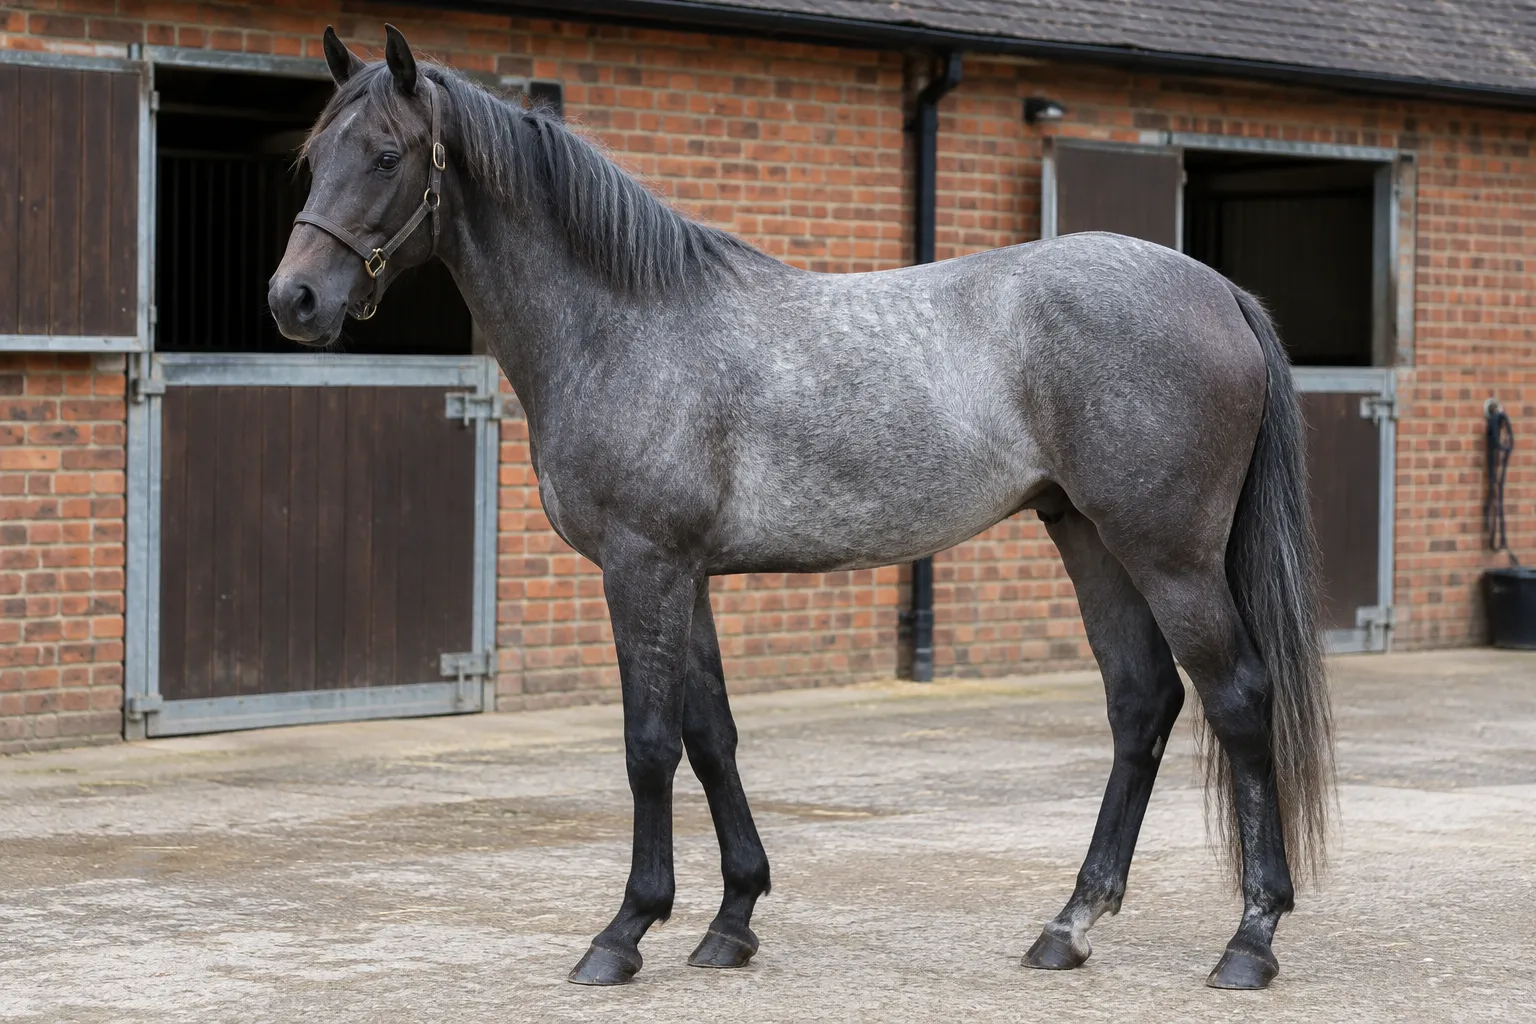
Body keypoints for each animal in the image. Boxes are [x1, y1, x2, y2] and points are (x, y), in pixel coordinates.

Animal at [269, 25, 1334, 992]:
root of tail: (1218, 290)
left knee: (1237, 700)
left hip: (1169, 553)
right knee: (1140, 702)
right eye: (314, 158)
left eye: (387, 156)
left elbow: (648, 745)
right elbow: (712, 738)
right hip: (1090, 538)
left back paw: (1250, 941)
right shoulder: (686, 575)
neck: (625, 324)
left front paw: (624, 932)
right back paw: (1068, 927)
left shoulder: (643, 567)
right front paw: (731, 920)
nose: (295, 300)